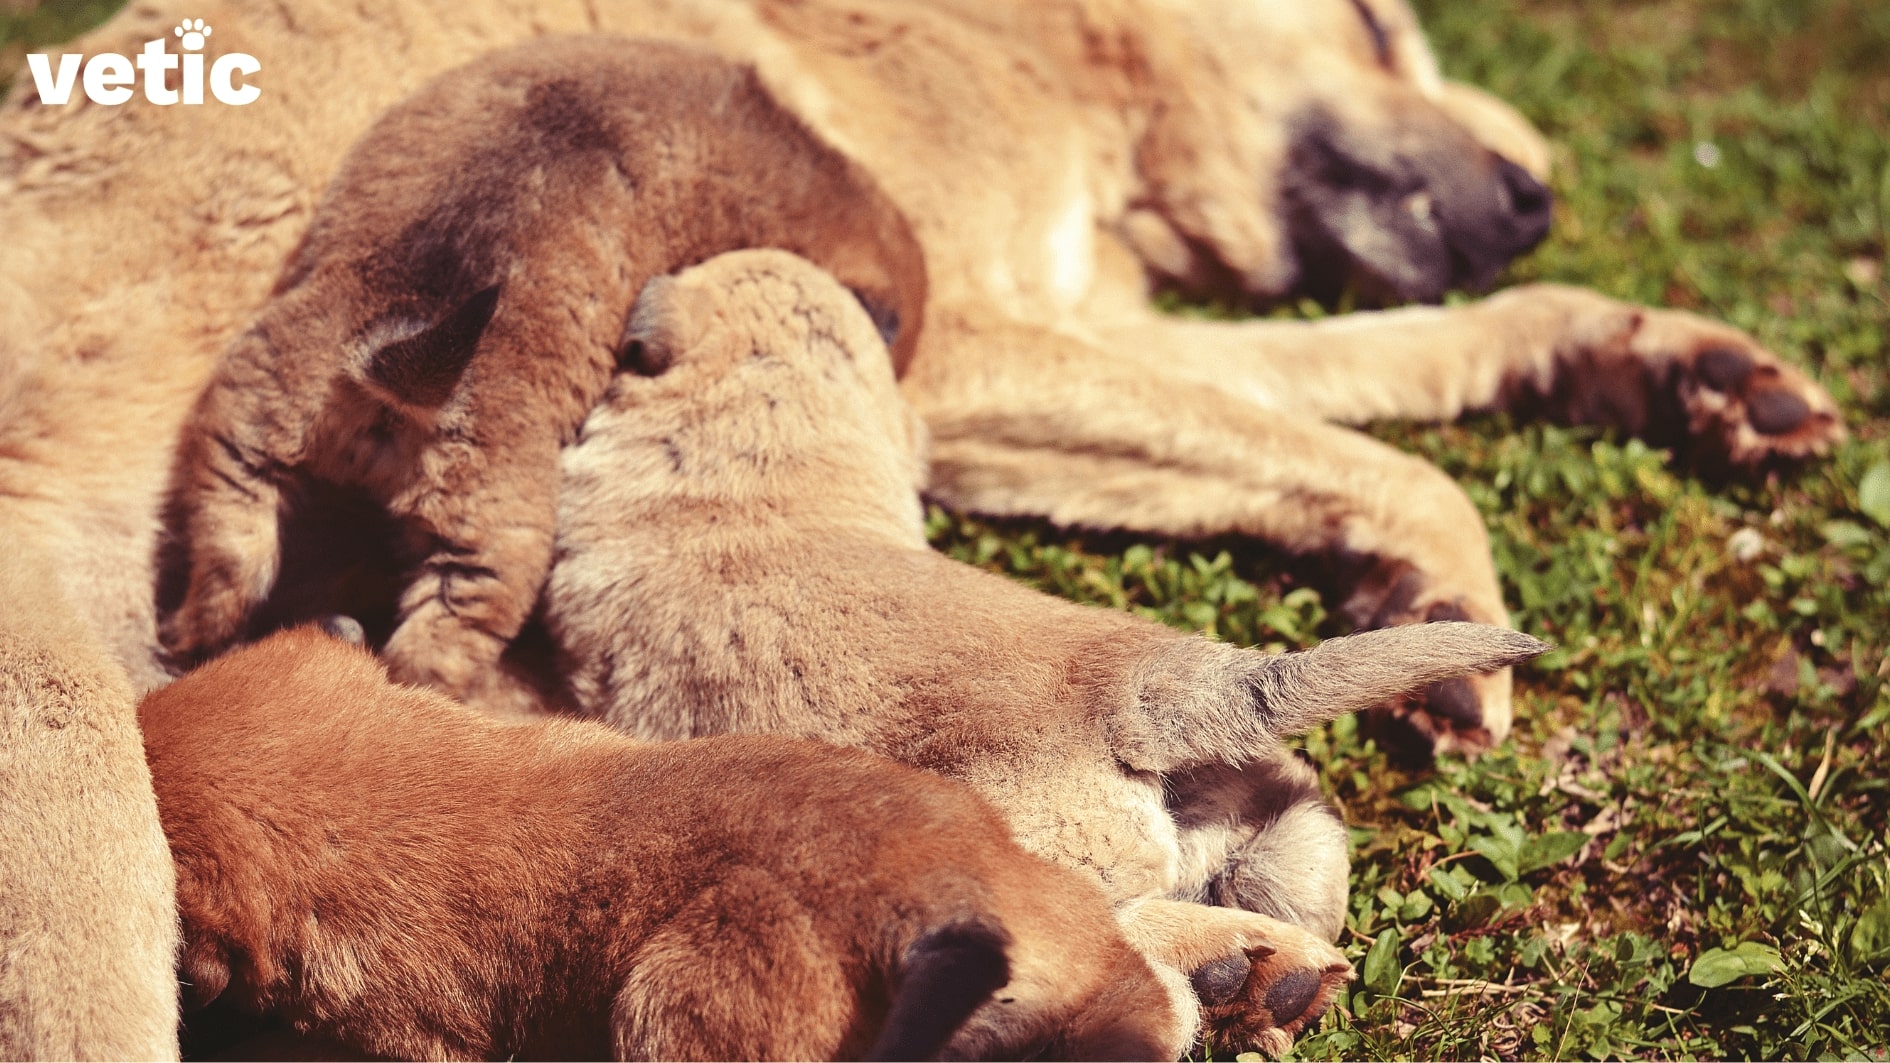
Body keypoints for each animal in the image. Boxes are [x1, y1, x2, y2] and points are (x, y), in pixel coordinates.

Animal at [158, 37, 926, 707]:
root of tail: (403, 366)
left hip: (247, 424)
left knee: (234, 560)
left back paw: (182, 637)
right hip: (499, 537)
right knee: (434, 645)